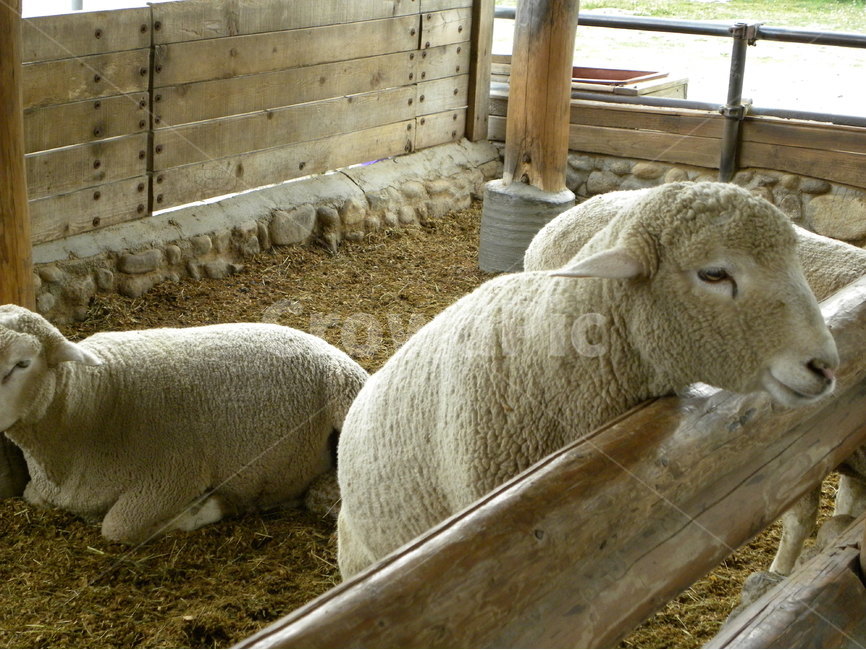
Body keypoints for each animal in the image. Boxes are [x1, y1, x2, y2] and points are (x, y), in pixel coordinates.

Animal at [0, 305, 368, 544]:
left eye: (22, 363)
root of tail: (323, 345)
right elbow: (32, 496)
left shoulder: (172, 477)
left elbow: (117, 528)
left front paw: (212, 506)